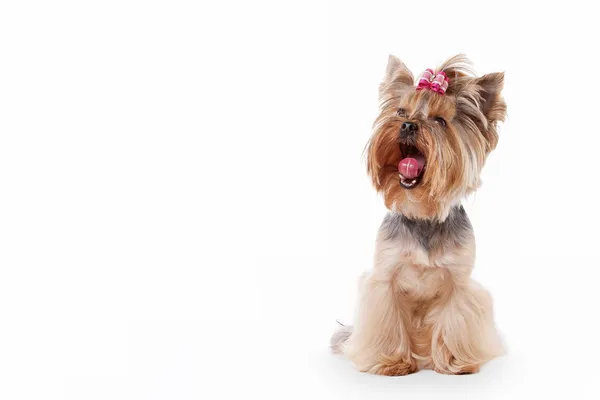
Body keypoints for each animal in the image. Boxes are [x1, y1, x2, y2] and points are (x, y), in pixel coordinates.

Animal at [330, 54, 508, 376]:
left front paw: (455, 362)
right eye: (401, 111)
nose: (407, 124)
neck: (422, 212)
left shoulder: (459, 282)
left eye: (440, 121)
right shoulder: (384, 279)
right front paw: (391, 361)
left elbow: (454, 317)